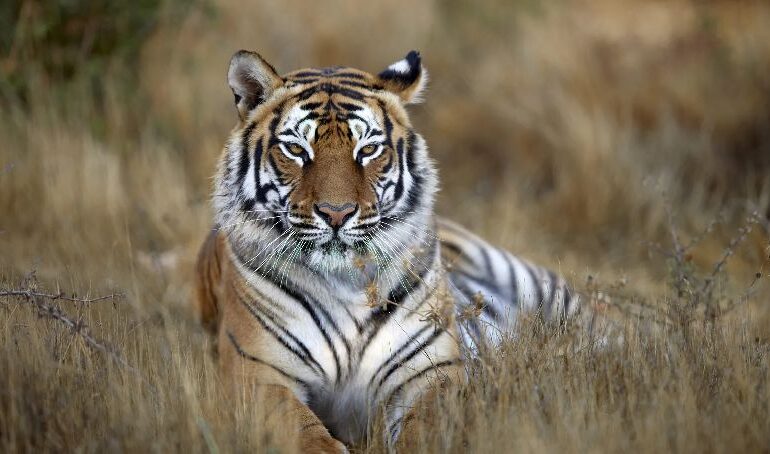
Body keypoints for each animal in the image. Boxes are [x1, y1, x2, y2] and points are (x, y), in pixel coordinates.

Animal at [195, 49, 580, 453]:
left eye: (367, 150)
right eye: (296, 149)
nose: (336, 213)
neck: (345, 284)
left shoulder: (430, 372)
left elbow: (425, 432)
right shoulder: (257, 373)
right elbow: (306, 436)